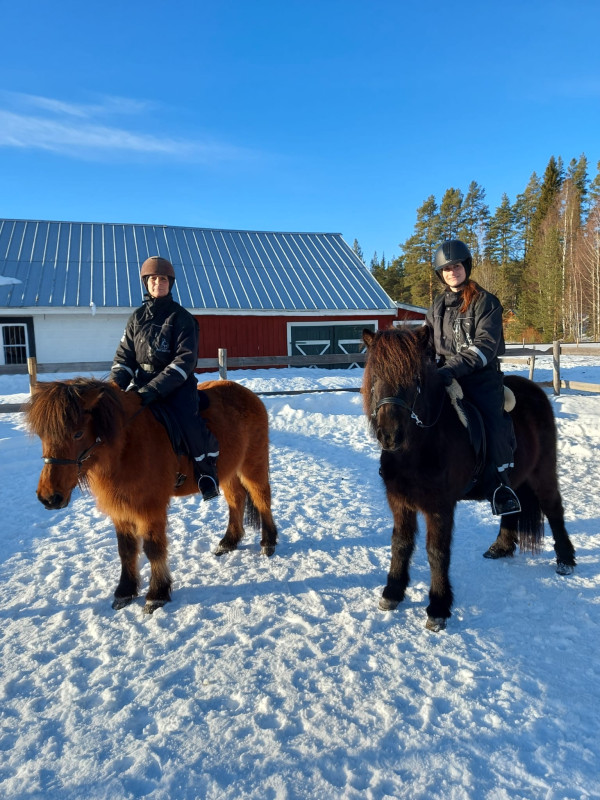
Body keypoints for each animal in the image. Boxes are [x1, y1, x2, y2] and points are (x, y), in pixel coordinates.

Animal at [24, 378, 276, 616]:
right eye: (42, 435)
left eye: (77, 433)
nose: (49, 497)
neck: (126, 446)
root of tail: (248, 394)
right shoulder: (120, 509)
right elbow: (126, 550)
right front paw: (125, 591)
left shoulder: (150, 508)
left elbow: (153, 549)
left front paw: (157, 594)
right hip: (229, 471)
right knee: (236, 500)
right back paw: (229, 542)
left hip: (252, 464)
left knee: (262, 498)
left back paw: (268, 543)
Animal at [360, 324, 576, 632]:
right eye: (376, 376)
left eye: (415, 379)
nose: (390, 435)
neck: (420, 445)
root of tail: (536, 391)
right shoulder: (399, 501)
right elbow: (400, 544)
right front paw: (392, 592)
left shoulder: (439, 507)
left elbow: (436, 552)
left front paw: (438, 607)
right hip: (515, 478)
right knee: (512, 505)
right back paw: (501, 546)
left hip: (543, 472)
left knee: (554, 508)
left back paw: (566, 560)